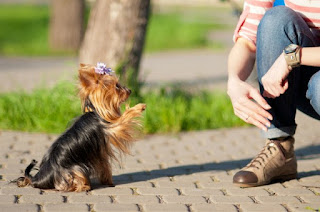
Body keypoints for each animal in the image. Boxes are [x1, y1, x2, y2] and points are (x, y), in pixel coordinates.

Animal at [14, 62, 146, 191]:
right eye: (117, 86)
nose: (129, 90)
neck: (95, 110)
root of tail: (38, 179)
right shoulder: (113, 128)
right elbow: (124, 118)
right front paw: (139, 107)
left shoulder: (101, 152)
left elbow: (105, 166)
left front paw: (108, 181)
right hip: (75, 170)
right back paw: (84, 186)